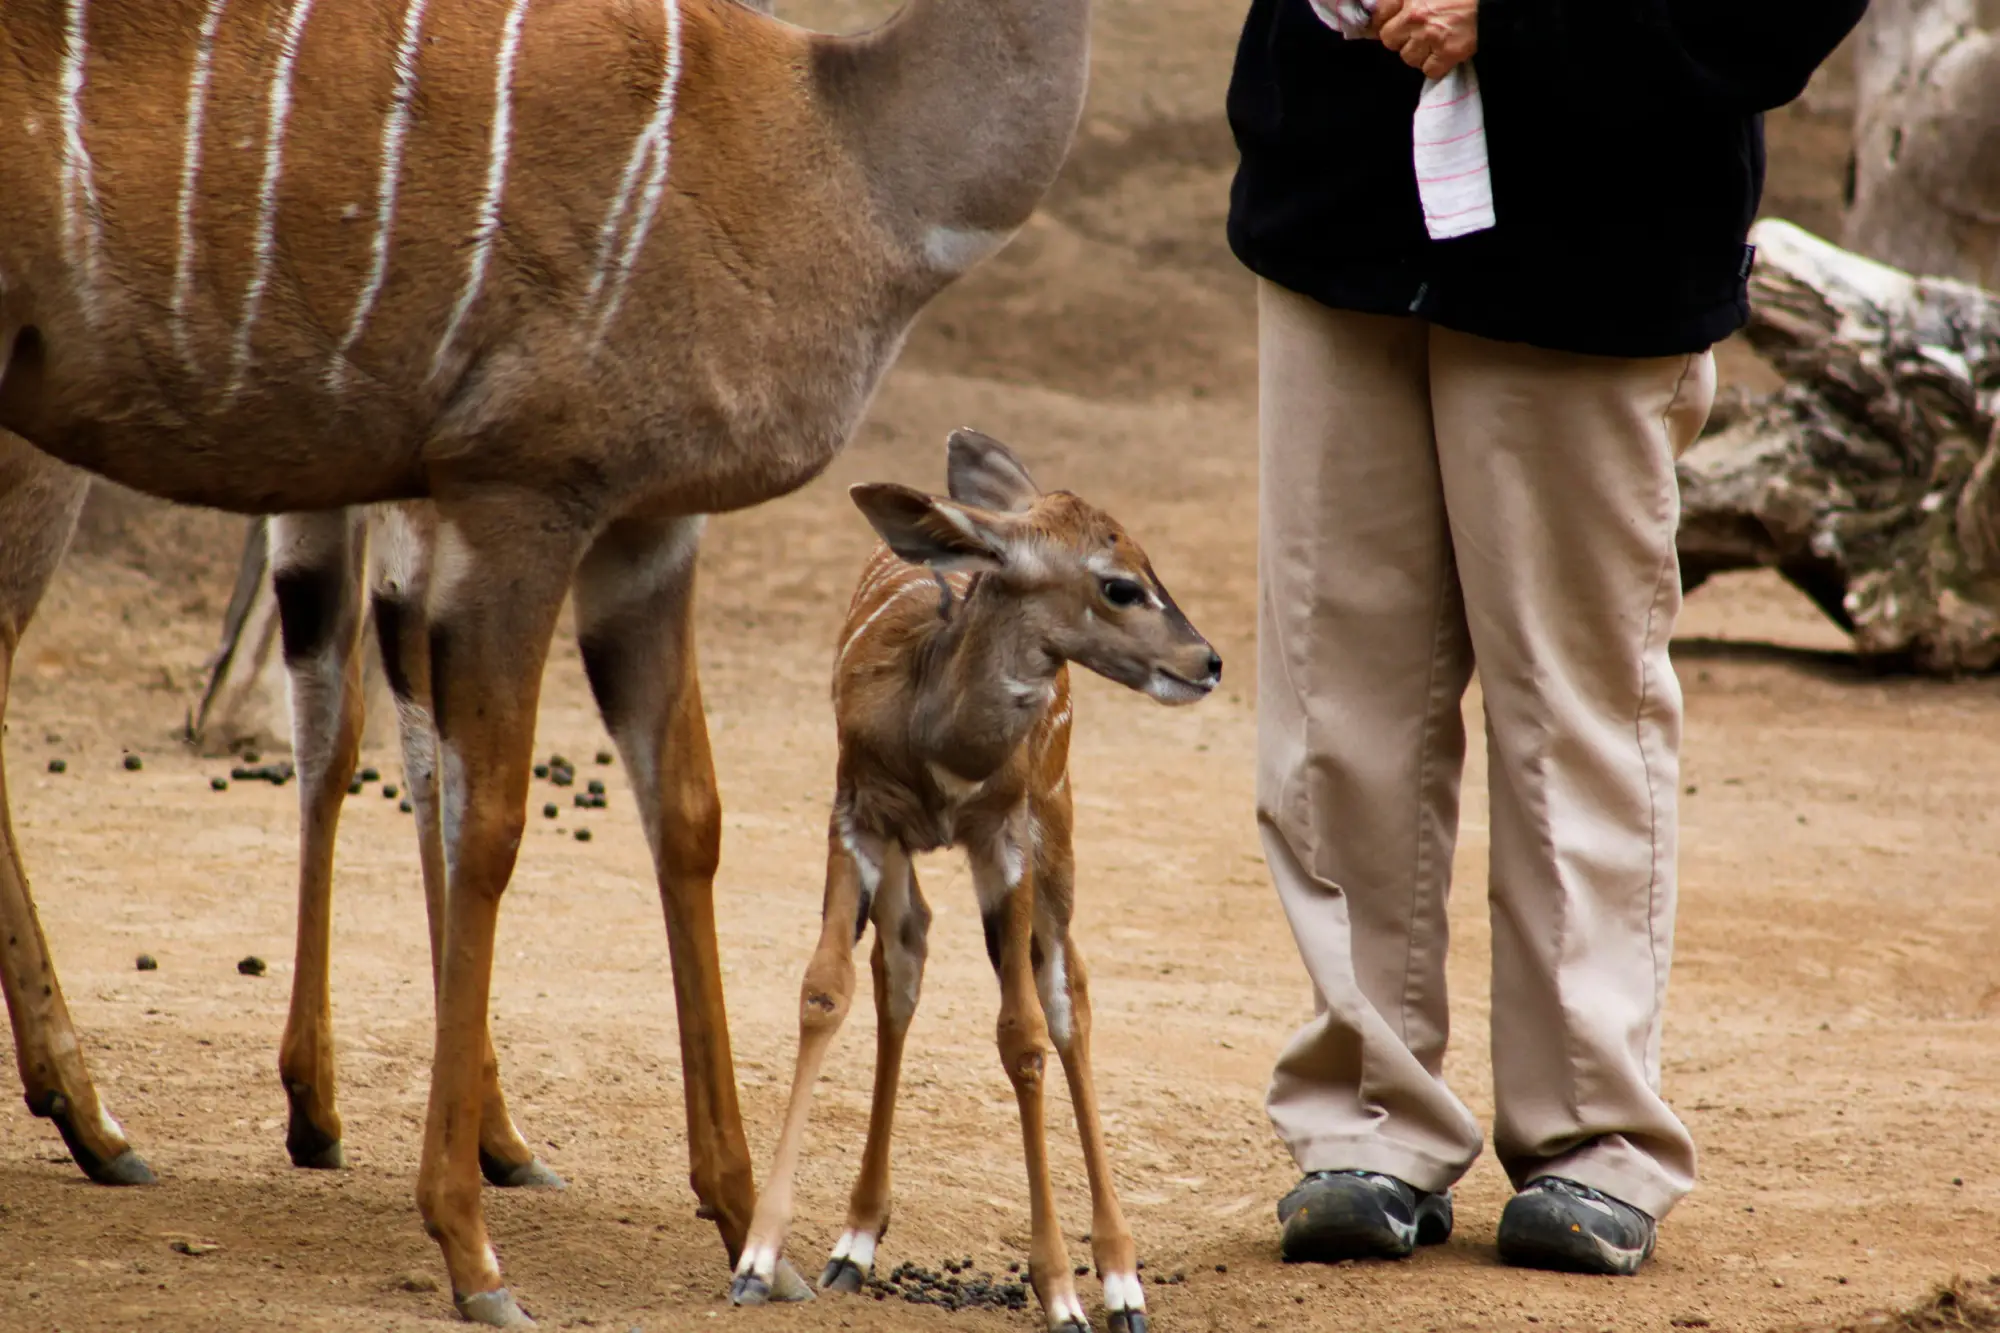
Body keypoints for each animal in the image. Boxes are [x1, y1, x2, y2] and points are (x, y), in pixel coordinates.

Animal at [0, 0, 1096, 1312]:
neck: (831, 145)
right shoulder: (517, 493)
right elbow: (486, 821)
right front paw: (468, 1242)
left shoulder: (644, 525)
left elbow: (686, 816)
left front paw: (743, 1222)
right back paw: (101, 1114)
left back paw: (125, 1119)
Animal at [728, 430, 1208, 1320]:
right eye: (1120, 584)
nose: (1209, 659)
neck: (939, 729)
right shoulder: (857, 812)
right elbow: (826, 989)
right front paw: (758, 1256)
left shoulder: (1005, 838)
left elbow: (1022, 1034)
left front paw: (1063, 1294)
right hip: (917, 855)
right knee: (904, 958)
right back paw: (856, 1239)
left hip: (1057, 831)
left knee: (1067, 990)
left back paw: (1123, 1281)